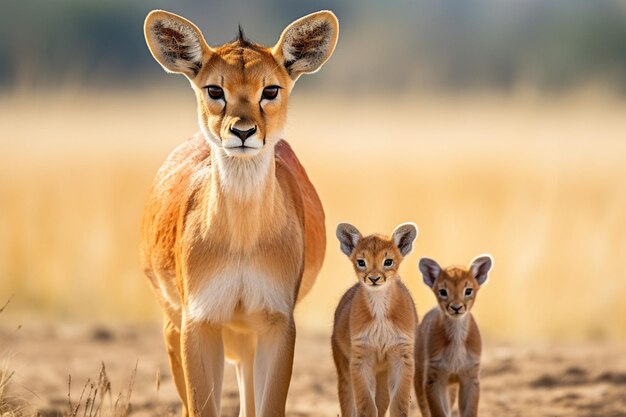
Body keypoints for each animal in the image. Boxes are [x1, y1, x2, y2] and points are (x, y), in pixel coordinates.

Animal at [140, 9, 338, 416]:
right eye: (215, 90)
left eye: (271, 89)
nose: (243, 131)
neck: (242, 241)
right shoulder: (199, 321)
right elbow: (202, 407)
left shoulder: (276, 322)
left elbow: (269, 406)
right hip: (177, 327)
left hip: (245, 335)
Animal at [330, 221, 416, 416]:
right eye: (361, 262)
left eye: (388, 261)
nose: (374, 278)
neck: (380, 311)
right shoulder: (361, 358)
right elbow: (366, 405)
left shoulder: (402, 356)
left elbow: (399, 404)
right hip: (344, 371)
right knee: (347, 403)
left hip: (382, 375)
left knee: (382, 402)